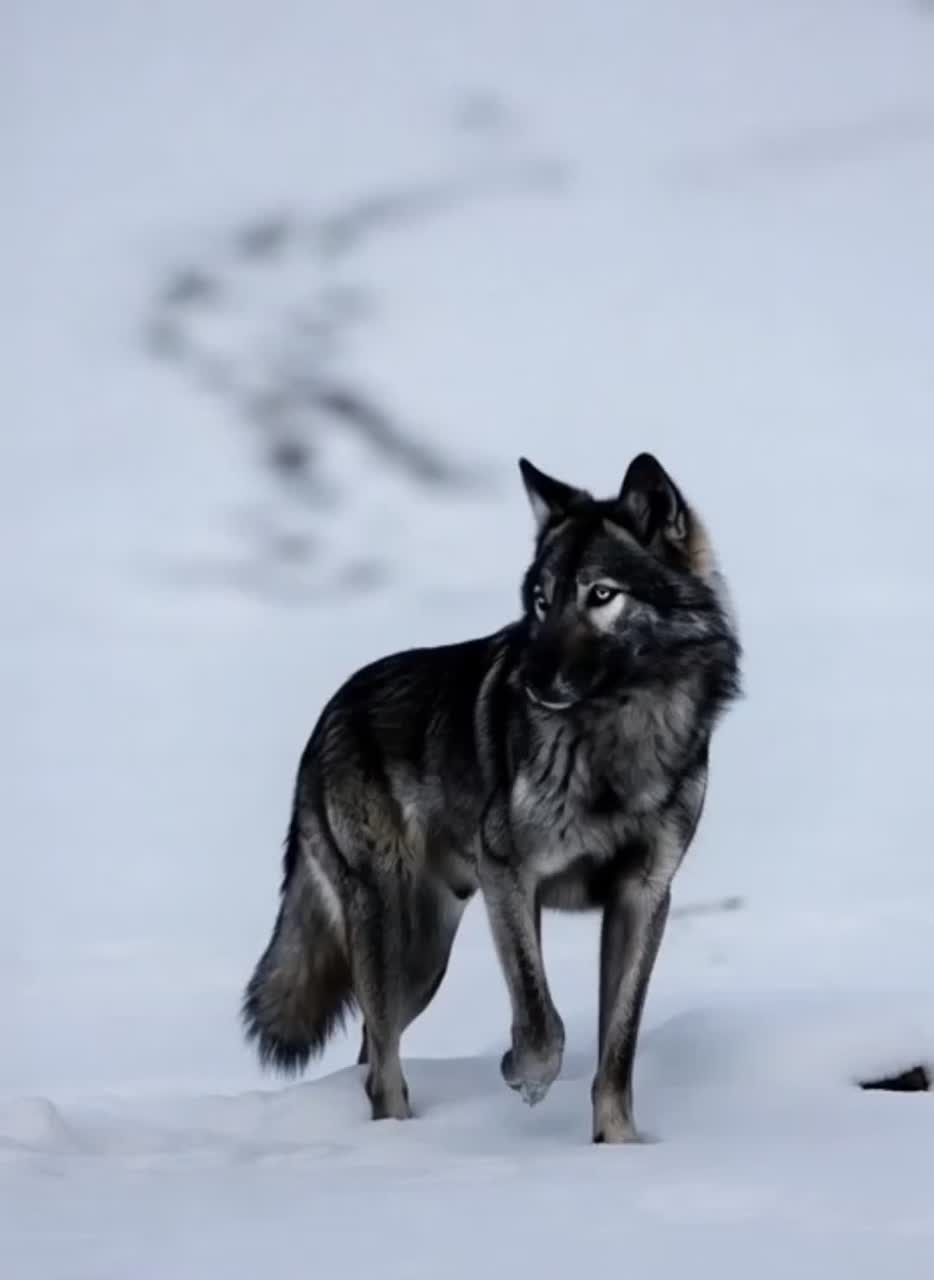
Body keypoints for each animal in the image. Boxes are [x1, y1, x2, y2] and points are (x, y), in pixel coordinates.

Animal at [243, 453, 741, 1142]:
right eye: (541, 600)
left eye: (601, 594)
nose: (527, 680)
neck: (617, 736)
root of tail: (329, 715)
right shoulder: (509, 877)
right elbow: (541, 1022)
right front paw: (523, 1077)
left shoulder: (642, 898)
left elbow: (618, 1050)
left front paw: (617, 1146)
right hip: (399, 942)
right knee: (381, 1064)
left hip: (424, 959)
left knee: (373, 1044)